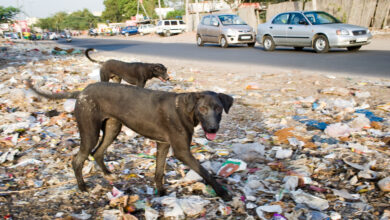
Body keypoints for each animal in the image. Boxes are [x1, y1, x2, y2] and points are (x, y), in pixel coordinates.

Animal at [28, 80, 235, 201]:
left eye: (218, 109)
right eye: (203, 109)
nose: (212, 129)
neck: (185, 108)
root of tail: (81, 92)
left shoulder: (163, 144)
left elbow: (159, 172)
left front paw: (161, 193)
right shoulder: (182, 151)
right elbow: (205, 172)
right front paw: (222, 192)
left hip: (113, 128)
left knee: (98, 153)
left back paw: (107, 174)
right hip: (90, 132)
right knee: (77, 160)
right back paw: (83, 187)